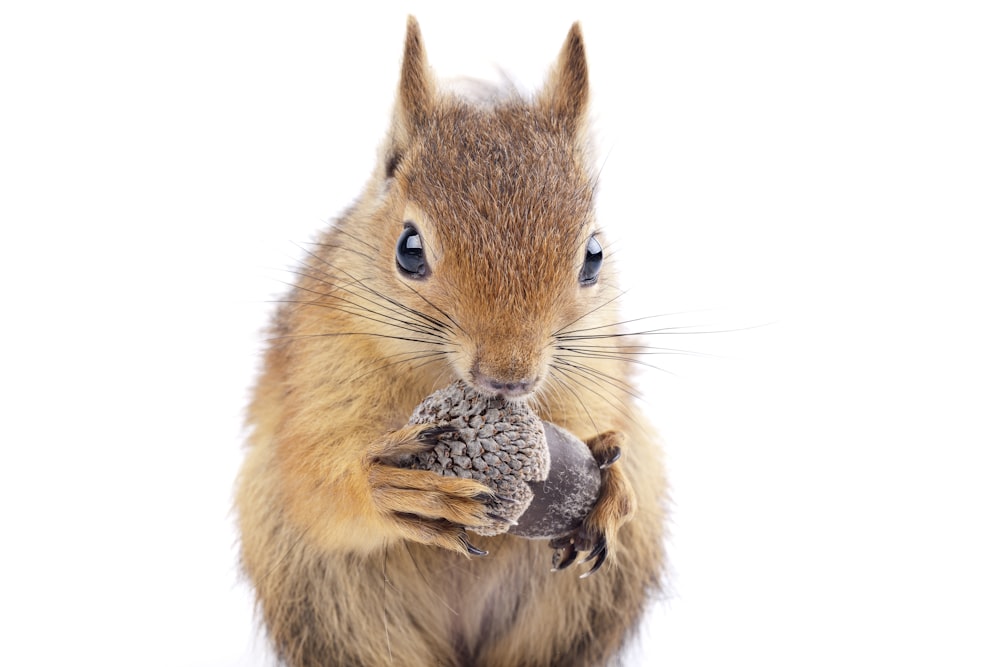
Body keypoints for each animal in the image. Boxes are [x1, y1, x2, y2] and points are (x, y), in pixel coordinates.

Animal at [237, 15, 668, 667]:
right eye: (409, 249)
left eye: (594, 255)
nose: (510, 376)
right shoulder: (318, 366)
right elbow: (314, 486)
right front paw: (387, 486)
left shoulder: (596, 367)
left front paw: (611, 483)